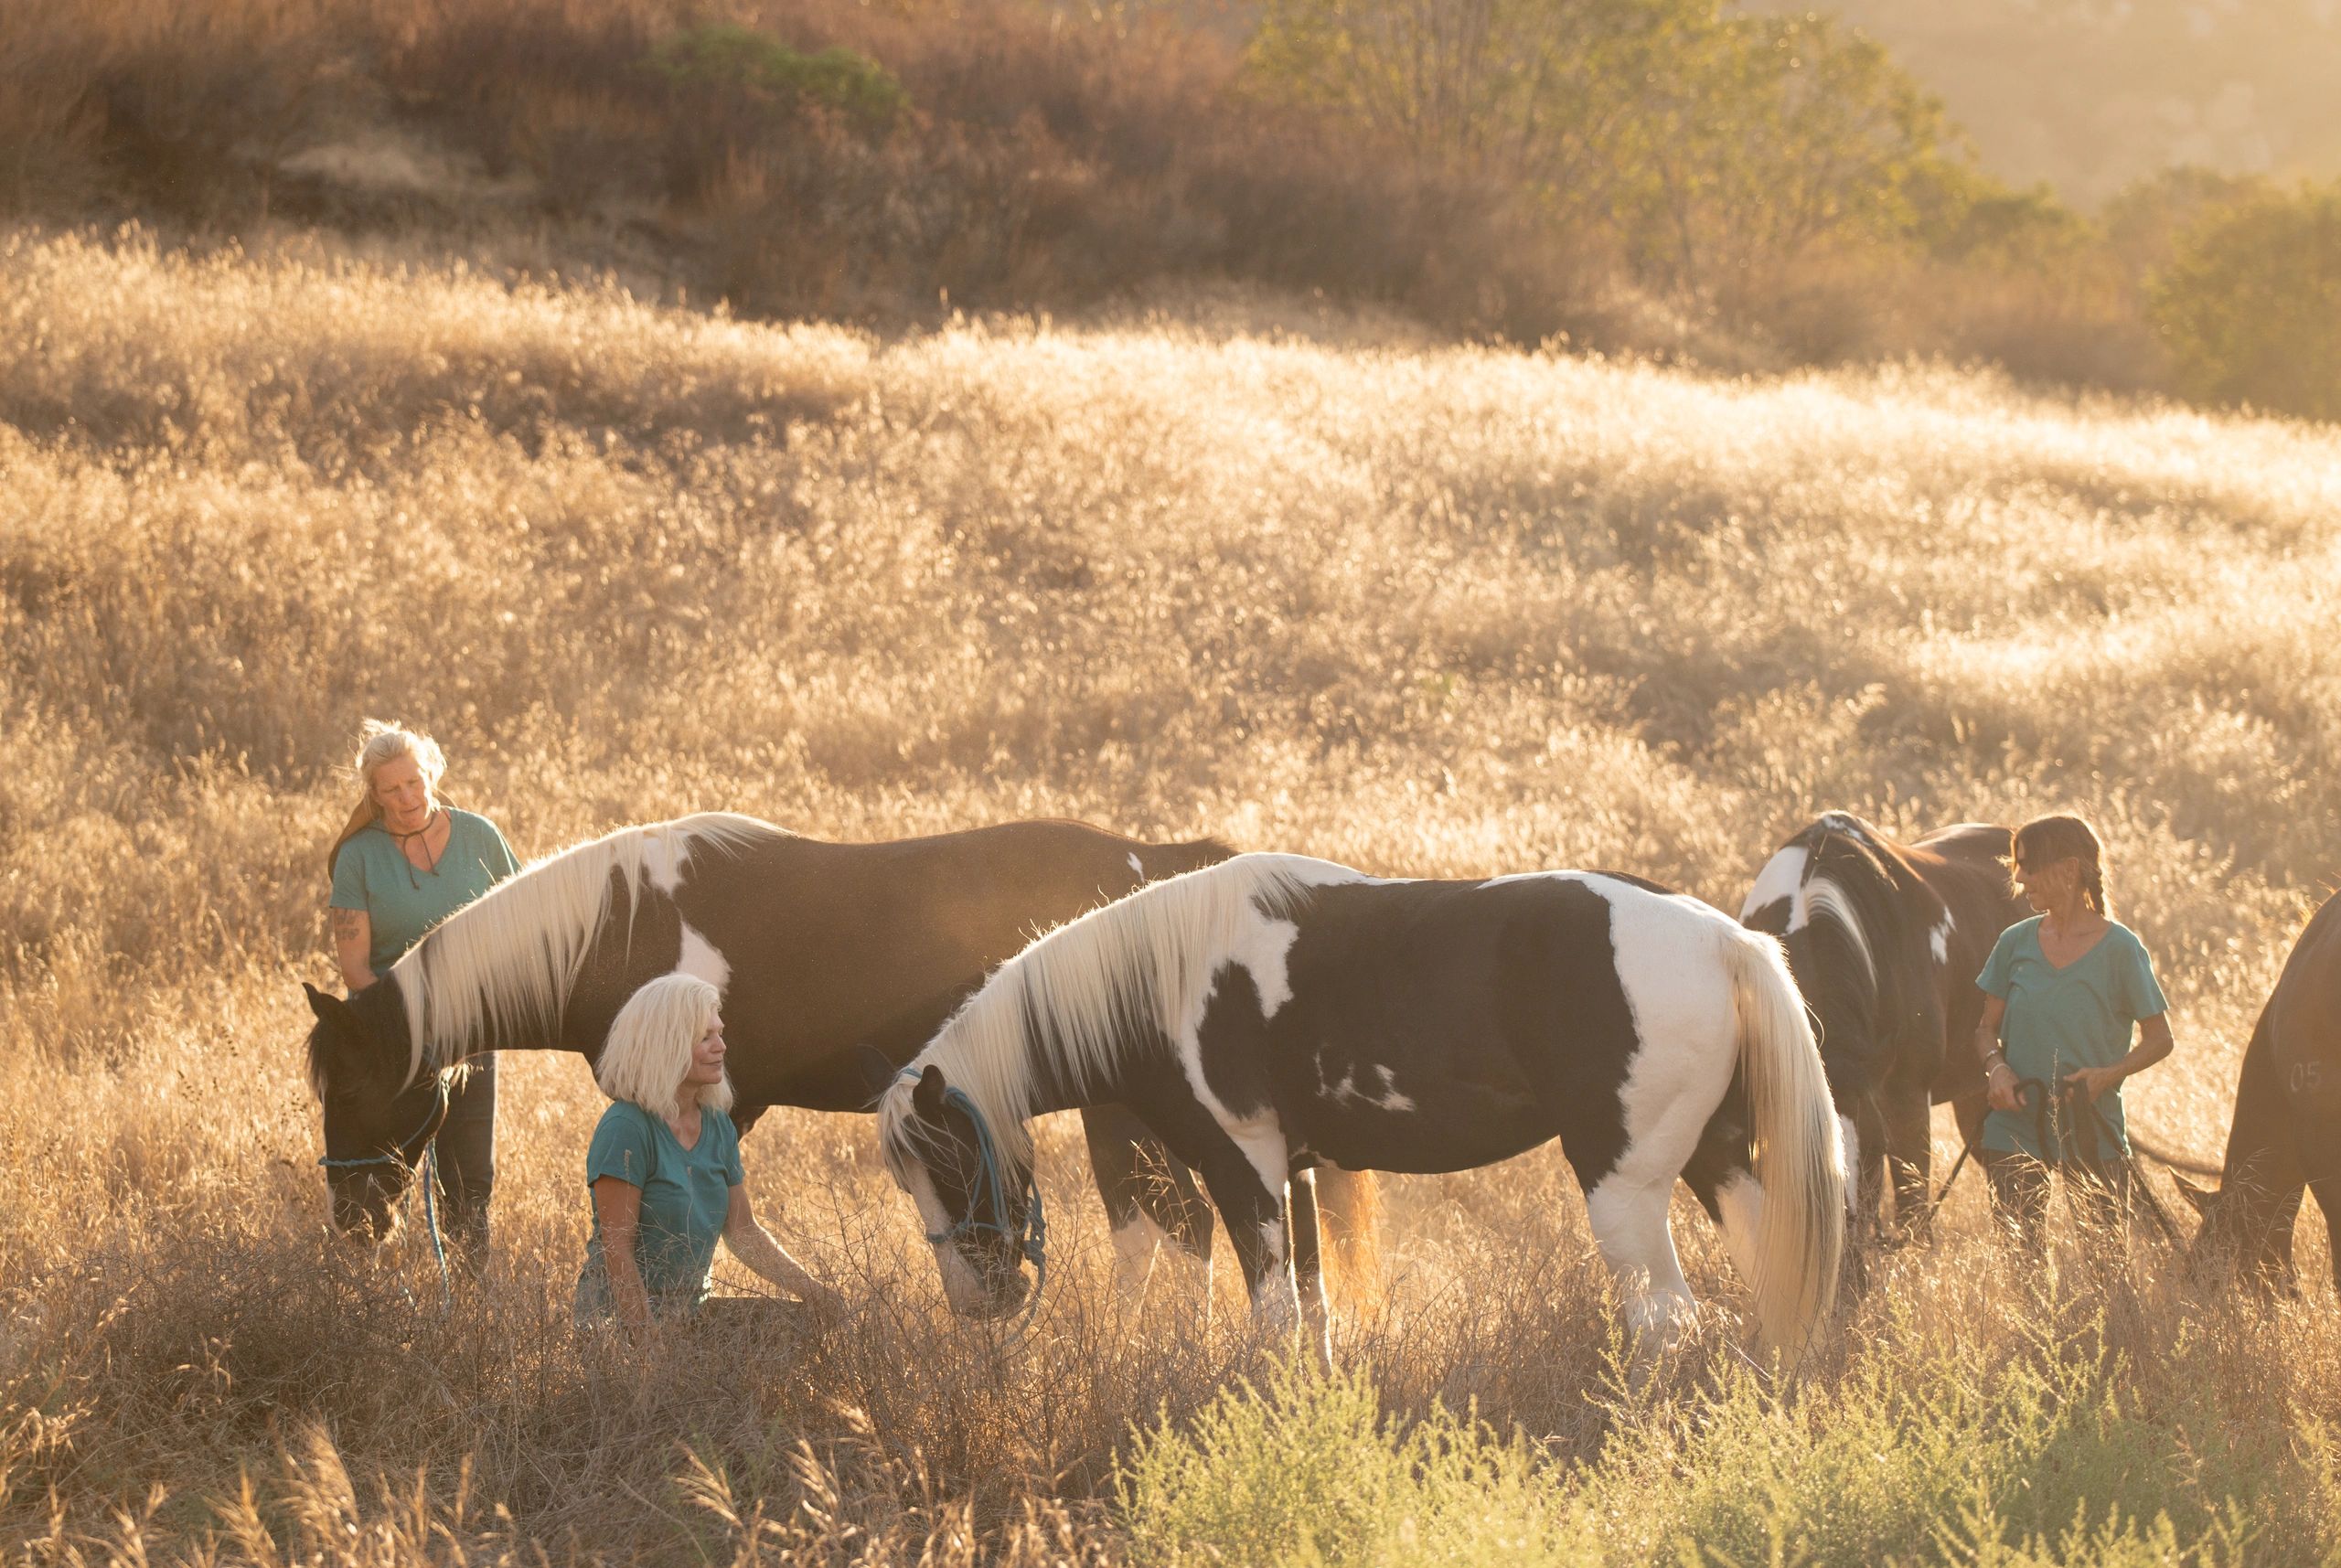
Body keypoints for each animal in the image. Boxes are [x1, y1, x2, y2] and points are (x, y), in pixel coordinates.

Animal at [304, 818, 1376, 1291]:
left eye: (354, 1083)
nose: (353, 1224)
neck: (622, 926)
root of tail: (1161, 864)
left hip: (1120, 1110)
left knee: (1170, 1228)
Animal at [880, 851, 1844, 1366]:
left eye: (951, 1160)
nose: (978, 1303)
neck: (1162, 981)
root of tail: (1724, 939)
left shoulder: (1245, 1167)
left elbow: (1273, 1317)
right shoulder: (1297, 1175)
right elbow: (1314, 1312)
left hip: (1626, 1187)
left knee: (1666, 1321)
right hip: (1717, 1161)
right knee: (1767, 1276)